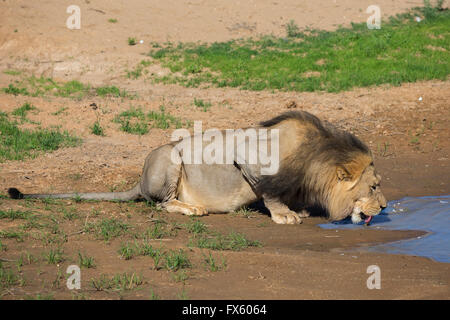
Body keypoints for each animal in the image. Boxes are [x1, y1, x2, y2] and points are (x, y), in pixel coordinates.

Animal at [7, 112, 386, 225]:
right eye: (373, 187)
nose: (384, 208)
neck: (314, 162)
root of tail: (138, 180)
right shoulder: (248, 157)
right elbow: (270, 193)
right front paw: (285, 215)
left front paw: (299, 209)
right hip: (169, 159)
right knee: (161, 204)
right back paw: (191, 208)